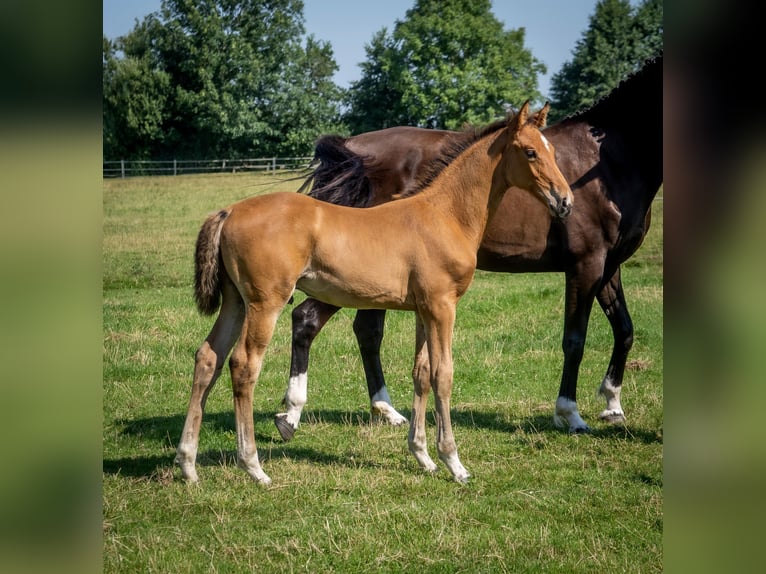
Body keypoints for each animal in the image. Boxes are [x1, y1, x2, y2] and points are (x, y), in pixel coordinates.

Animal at [177, 102, 572, 486]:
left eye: (553, 150)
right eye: (531, 152)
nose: (565, 201)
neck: (444, 215)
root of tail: (228, 212)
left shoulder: (423, 310)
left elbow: (421, 372)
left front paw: (423, 456)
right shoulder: (442, 306)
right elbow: (443, 374)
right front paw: (454, 463)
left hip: (235, 302)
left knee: (208, 358)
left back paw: (188, 464)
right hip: (264, 303)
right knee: (243, 365)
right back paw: (253, 466)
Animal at [280, 55, 664, 440]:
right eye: (530, 153)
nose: (564, 201)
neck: (608, 162)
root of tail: (351, 151)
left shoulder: (609, 266)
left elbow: (624, 330)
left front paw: (612, 405)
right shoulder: (586, 265)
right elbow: (574, 339)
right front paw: (569, 413)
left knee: (365, 331)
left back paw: (385, 410)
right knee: (309, 319)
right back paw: (294, 414)